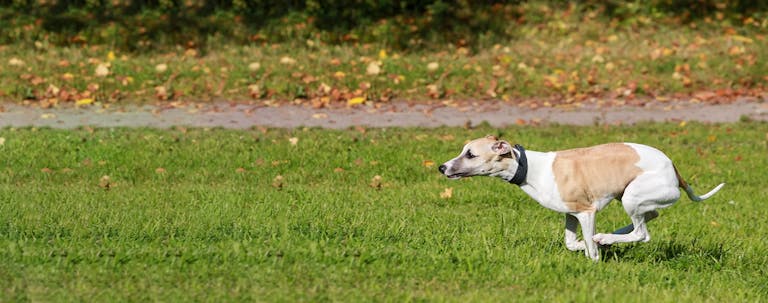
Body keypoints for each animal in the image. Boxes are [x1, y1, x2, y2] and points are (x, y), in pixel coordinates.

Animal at [438, 137, 728, 262]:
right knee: (650, 216)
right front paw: (582, 245)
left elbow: (590, 248)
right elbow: (570, 242)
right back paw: (608, 237)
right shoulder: (571, 213)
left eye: (471, 154)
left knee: (642, 234)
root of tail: (674, 168)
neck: (530, 168)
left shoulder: (586, 211)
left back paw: (607, 238)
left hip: (633, 197)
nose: (442, 167)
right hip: (631, 195)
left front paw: (594, 258)